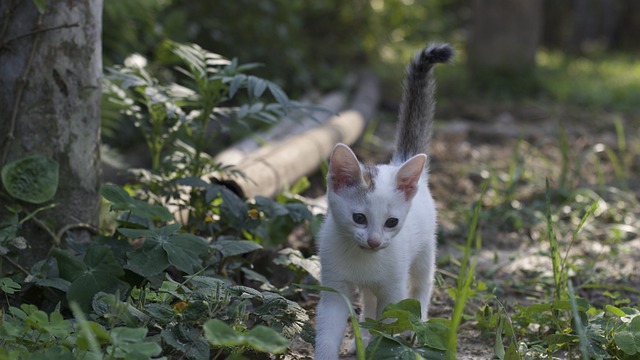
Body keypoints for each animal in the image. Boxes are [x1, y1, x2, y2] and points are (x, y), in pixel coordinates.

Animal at [312, 43, 452, 358]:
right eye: (359, 218)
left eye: (391, 222)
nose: (375, 241)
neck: (364, 260)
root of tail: (399, 162)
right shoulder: (334, 287)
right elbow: (330, 328)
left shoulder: (393, 289)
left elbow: (390, 322)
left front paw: (385, 345)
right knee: (368, 304)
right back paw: (360, 339)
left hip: (425, 252)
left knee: (421, 286)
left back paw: (414, 327)